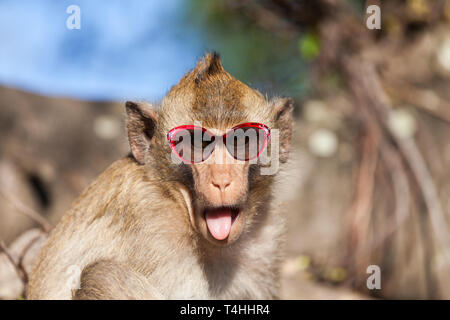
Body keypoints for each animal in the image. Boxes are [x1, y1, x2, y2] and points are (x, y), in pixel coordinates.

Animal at [27, 52, 296, 300]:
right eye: (196, 144)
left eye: (243, 142)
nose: (221, 180)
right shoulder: (152, 223)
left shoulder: (265, 240)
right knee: (104, 276)